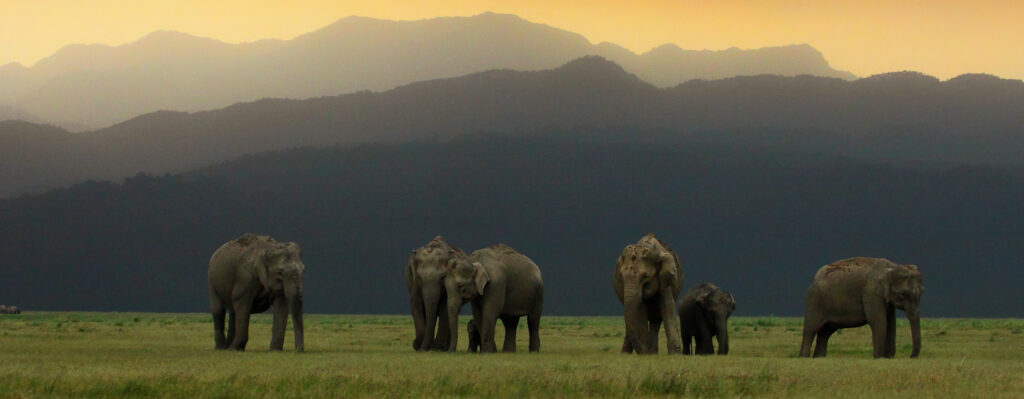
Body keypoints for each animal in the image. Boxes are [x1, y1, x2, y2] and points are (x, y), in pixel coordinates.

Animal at [798, 256, 929, 360]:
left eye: (922, 292)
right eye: (902, 294)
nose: (910, 357)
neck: (892, 266)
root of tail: (815, 278)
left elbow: (891, 323)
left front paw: (888, 358)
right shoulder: (871, 293)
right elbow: (879, 321)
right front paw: (878, 358)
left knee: (825, 332)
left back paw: (819, 357)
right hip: (815, 301)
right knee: (811, 329)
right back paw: (804, 357)